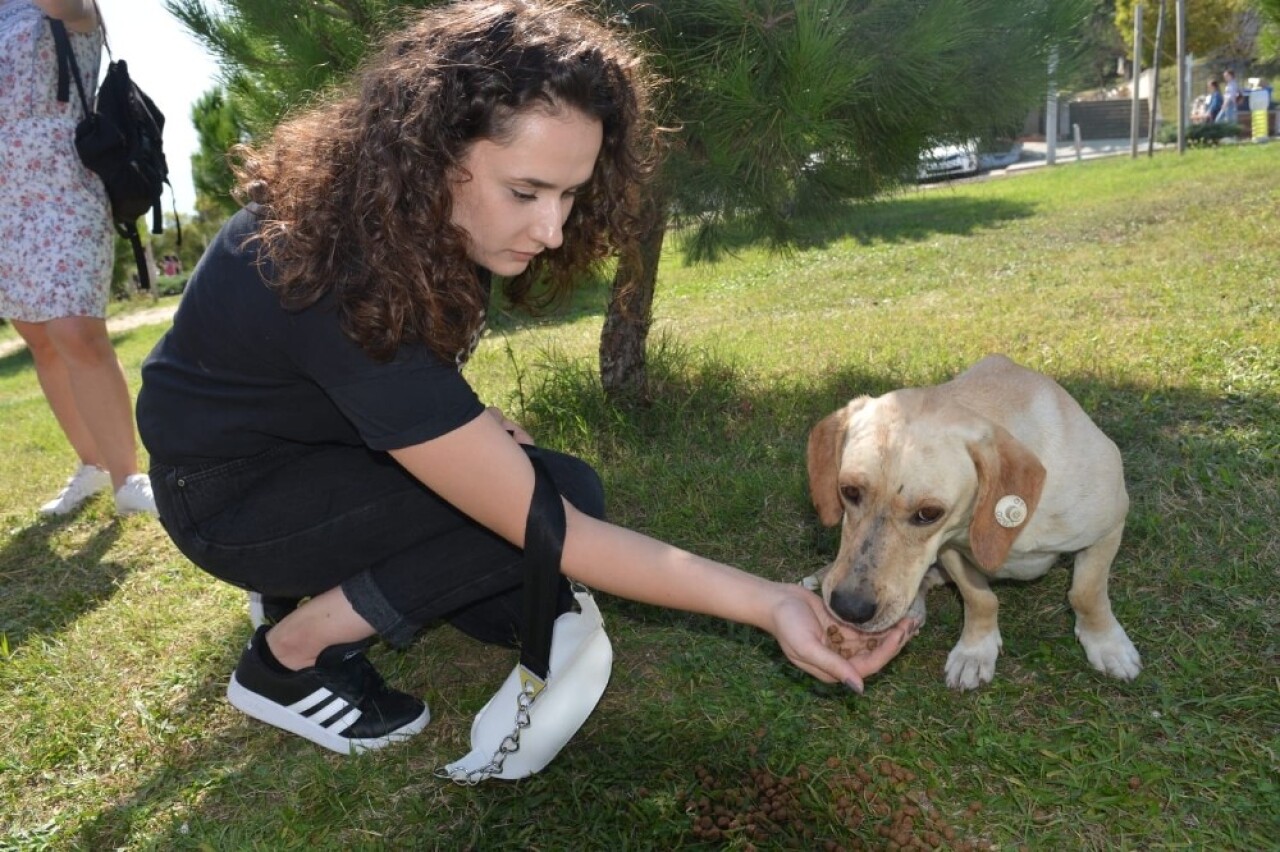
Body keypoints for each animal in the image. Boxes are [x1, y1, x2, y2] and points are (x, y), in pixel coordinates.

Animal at [803, 353, 1146, 690]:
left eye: (928, 513)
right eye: (849, 491)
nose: (848, 608)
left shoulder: (1109, 529)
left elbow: (1086, 593)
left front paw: (1106, 644)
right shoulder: (950, 550)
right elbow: (980, 599)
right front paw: (975, 651)